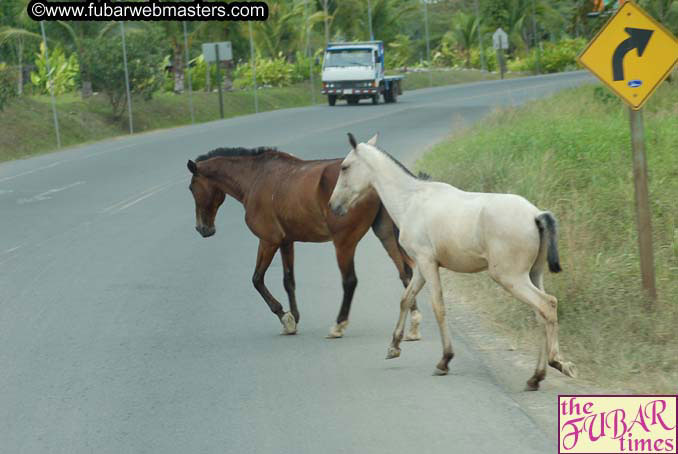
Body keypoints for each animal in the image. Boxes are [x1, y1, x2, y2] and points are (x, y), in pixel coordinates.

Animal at [186, 142, 420, 336]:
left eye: (192, 188)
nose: (202, 229)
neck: (256, 177)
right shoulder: (286, 242)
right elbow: (288, 281)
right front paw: (294, 318)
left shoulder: (268, 241)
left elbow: (257, 279)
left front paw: (284, 316)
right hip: (384, 233)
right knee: (406, 274)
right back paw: (413, 323)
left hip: (344, 242)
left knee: (350, 281)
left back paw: (339, 325)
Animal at [330, 132, 580, 390]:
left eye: (344, 167)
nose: (333, 205)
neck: (411, 200)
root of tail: (536, 215)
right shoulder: (420, 267)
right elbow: (405, 299)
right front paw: (394, 347)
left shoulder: (427, 263)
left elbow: (438, 306)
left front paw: (445, 360)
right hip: (533, 274)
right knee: (541, 315)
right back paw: (536, 376)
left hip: (510, 277)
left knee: (547, 305)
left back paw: (556, 363)